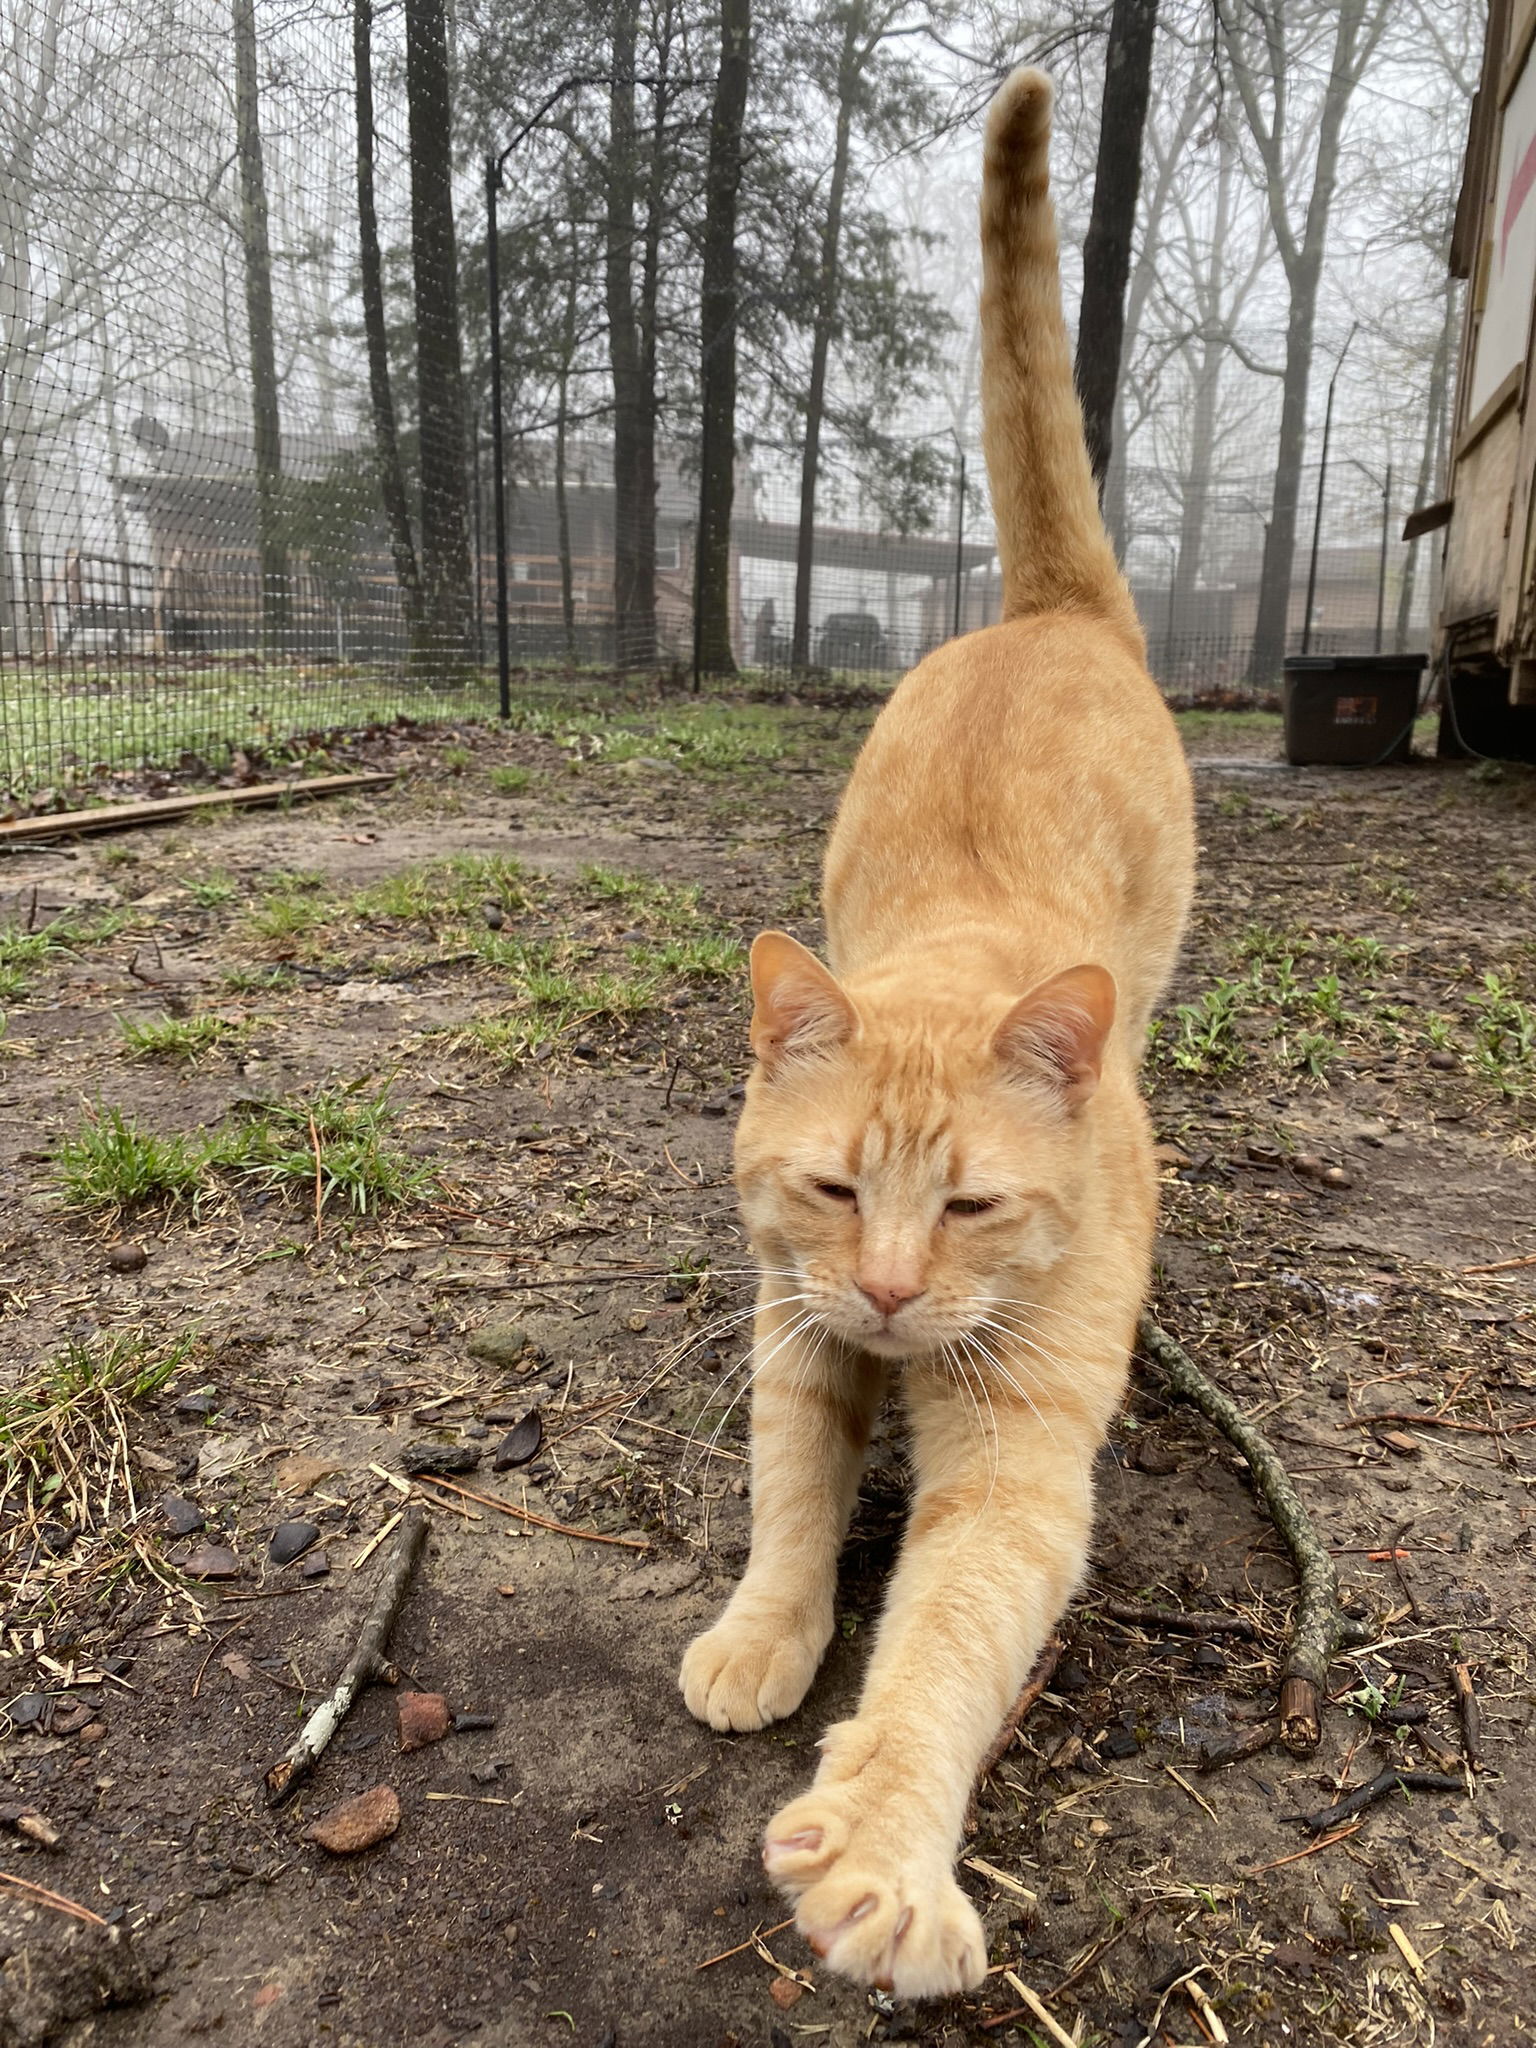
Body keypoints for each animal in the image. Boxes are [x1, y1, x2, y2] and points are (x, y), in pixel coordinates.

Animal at [684, 68, 1204, 1998]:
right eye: (839, 1189)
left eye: (971, 1203)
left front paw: (882, 1852)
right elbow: (786, 1506)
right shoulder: (790, 1318)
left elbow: (938, 1652)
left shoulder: (1017, 1471)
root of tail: (1047, 613)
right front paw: (763, 1630)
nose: (899, 1294)